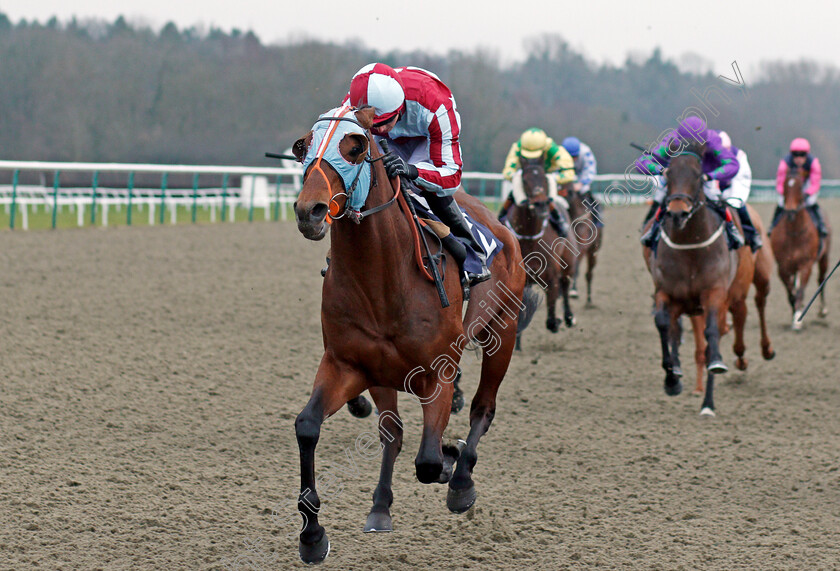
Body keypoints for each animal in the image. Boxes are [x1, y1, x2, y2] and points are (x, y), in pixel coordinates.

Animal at [288, 106, 532, 564]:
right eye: (302, 147)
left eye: (355, 147)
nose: (309, 210)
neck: (383, 277)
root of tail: (502, 228)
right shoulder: (349, 365)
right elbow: (309, 426)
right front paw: (312, 535)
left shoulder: (438, 373)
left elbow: (429, 462)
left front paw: (452, 463)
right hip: (385, 375)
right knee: (394, 433)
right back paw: (380, 507)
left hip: (503, 331)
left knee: (482, 410)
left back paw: (461, 478)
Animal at [772, 169, 832, 330]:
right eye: (785, 185)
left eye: (800, 187)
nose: (790, 211)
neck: (794, 233)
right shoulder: (783, 267)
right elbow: (791, 293)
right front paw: (795, 314)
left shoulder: (806, 265)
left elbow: (800, 292)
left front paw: (798, 319)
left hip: (824, 258)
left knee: (821, 280)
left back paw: (823, 310)